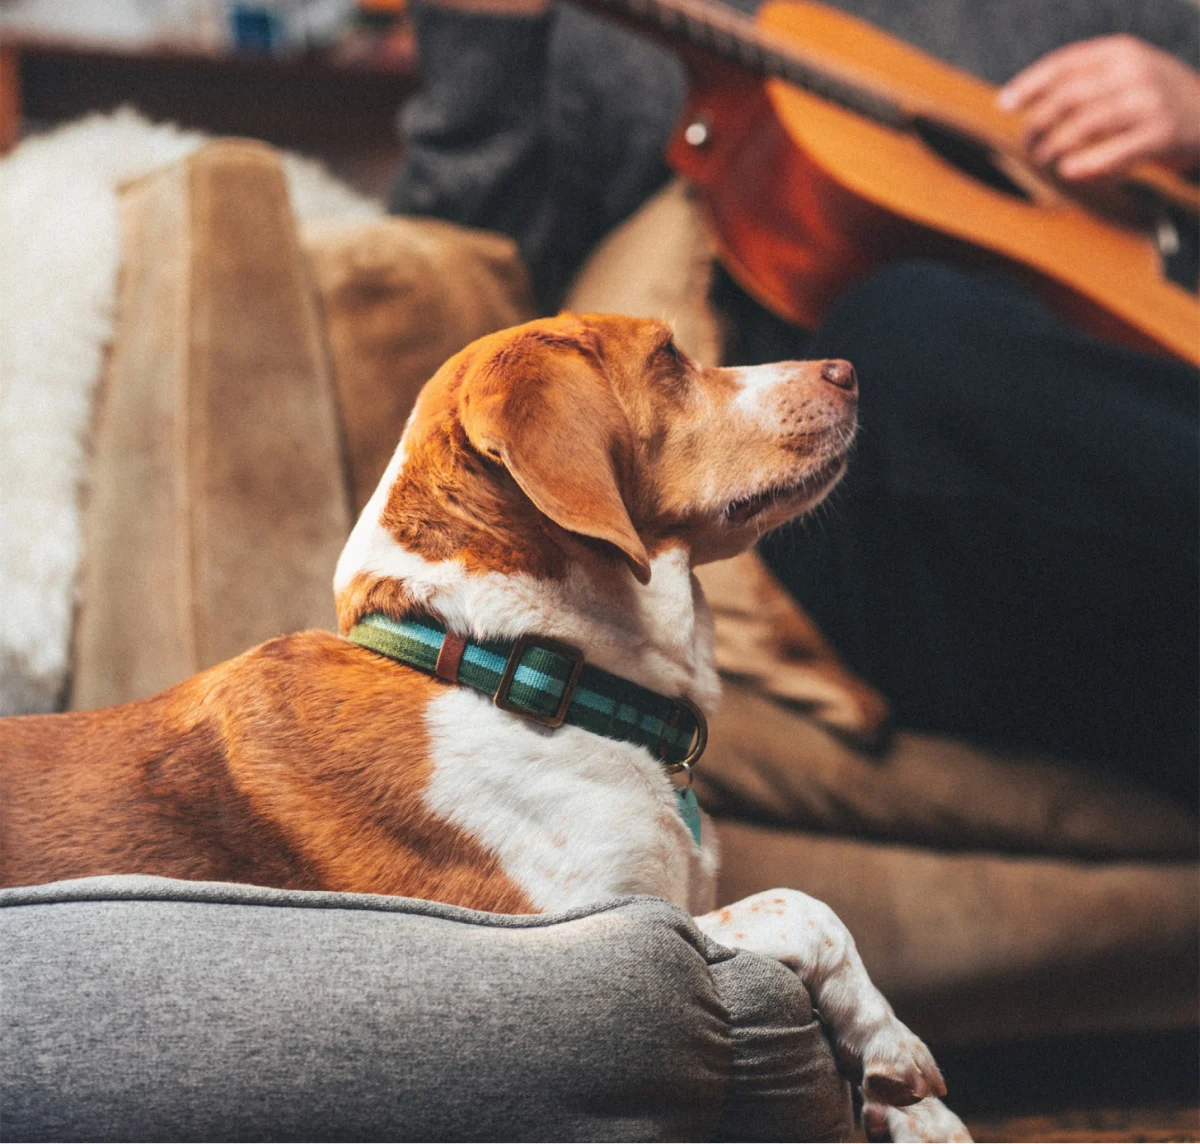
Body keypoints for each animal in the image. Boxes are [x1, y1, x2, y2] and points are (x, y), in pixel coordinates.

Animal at [0, 314, 969, 1142]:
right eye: (668, 357)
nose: (847, 370)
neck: (519, 672)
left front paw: (917, 1112)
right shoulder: (601, 915)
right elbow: (807, 906)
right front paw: (895, 1048)